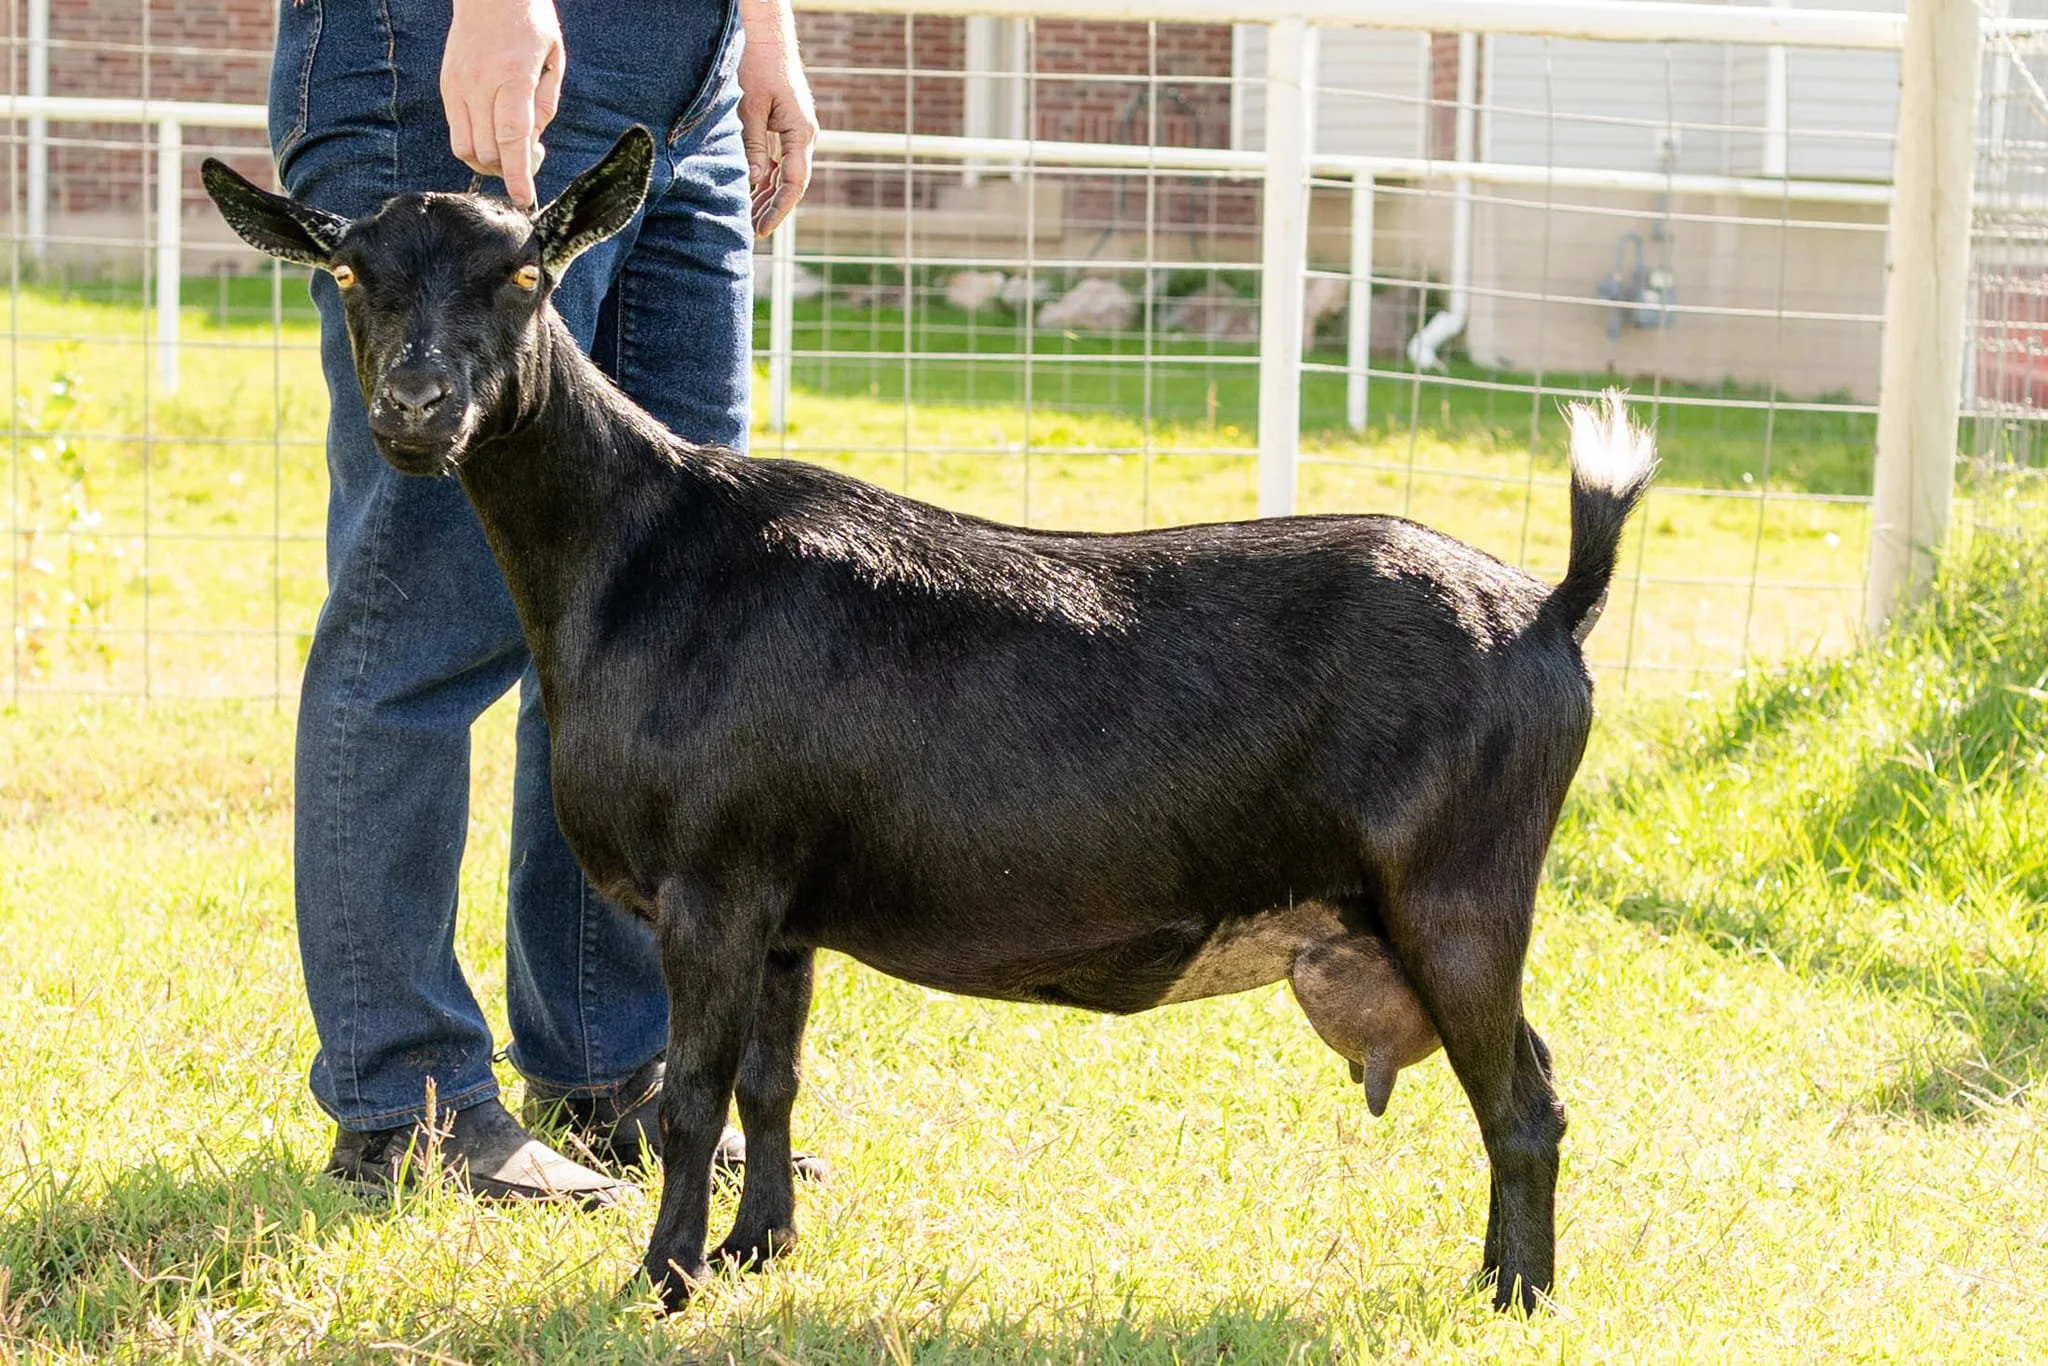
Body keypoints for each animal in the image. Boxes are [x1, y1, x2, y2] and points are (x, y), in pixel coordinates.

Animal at [204, 127, 1654, 1315]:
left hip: (1458, 890)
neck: (639, 552)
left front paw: (662, 1279)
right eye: (350, 278)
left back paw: (1514, 1299)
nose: (415, 408)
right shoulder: (784, 905)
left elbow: (689, 1100)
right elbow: (769, 1084)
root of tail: (1549, 611)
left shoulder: (711, 885)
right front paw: (755, 1251)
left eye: (524, 279)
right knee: (1524, 1085)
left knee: (1526, 1103)